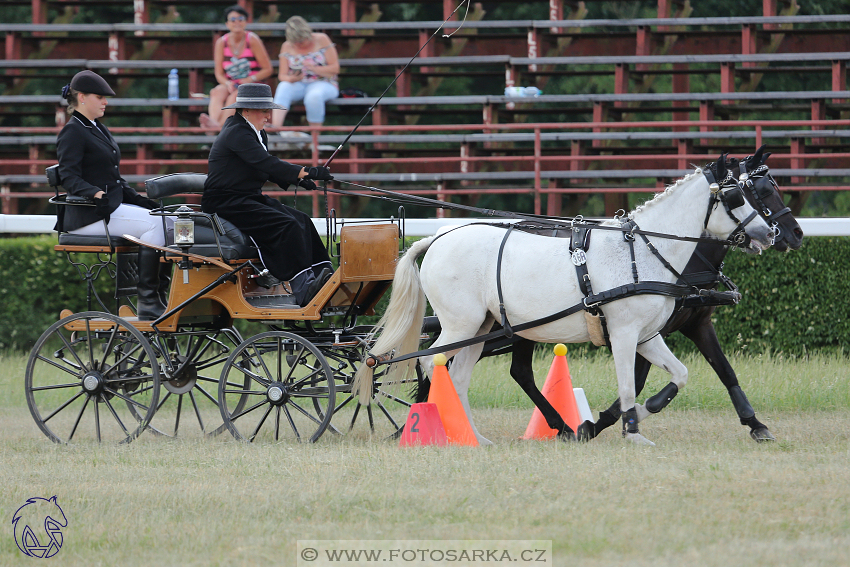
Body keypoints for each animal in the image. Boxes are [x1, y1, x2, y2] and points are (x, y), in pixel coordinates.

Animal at [354, 162, 772, 446]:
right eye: (735, 196)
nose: (769, 233)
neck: (642, 251)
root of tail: (438, 237)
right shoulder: (623, 334)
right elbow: (627, 385)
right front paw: (629, 428)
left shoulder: (647, 336)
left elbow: (679, 375)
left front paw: (642, 412)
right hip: (460, 325)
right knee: (431, 363)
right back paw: (438, 425)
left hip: (481, 328)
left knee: (458, 376)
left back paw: (472, 436)